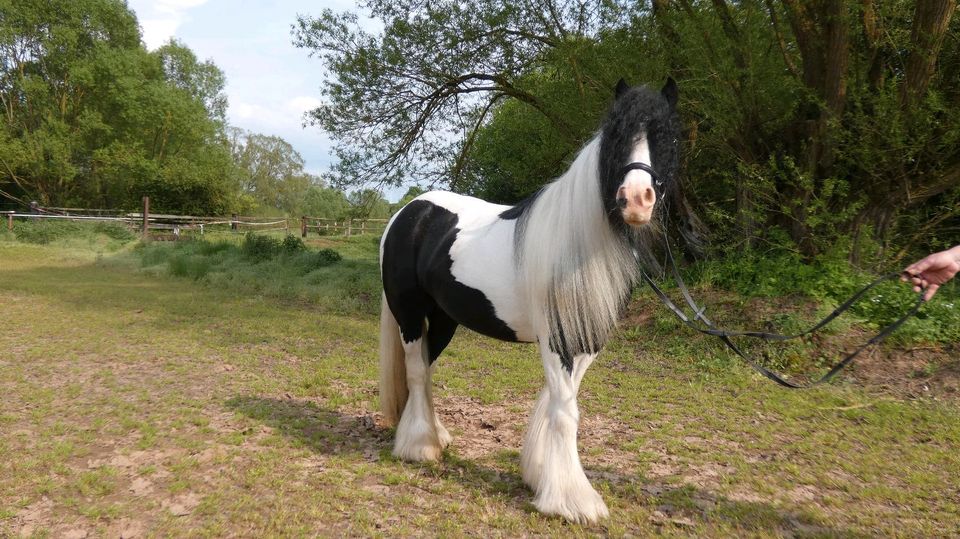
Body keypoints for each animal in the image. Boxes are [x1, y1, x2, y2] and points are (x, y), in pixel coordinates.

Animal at [378, 79, 680, 524]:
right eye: (616, 135)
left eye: (668, 137)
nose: (636, 199)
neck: (578, 245)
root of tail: (407, 212)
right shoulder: (556, 340)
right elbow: (565, 412)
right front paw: (573, 501)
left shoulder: (586, 341)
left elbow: (556, 404)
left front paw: (540, 474)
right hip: (411, 315)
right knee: (416, 371)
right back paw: (420, 446)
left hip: (445, 319)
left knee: (426, 371)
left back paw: (436, 435)